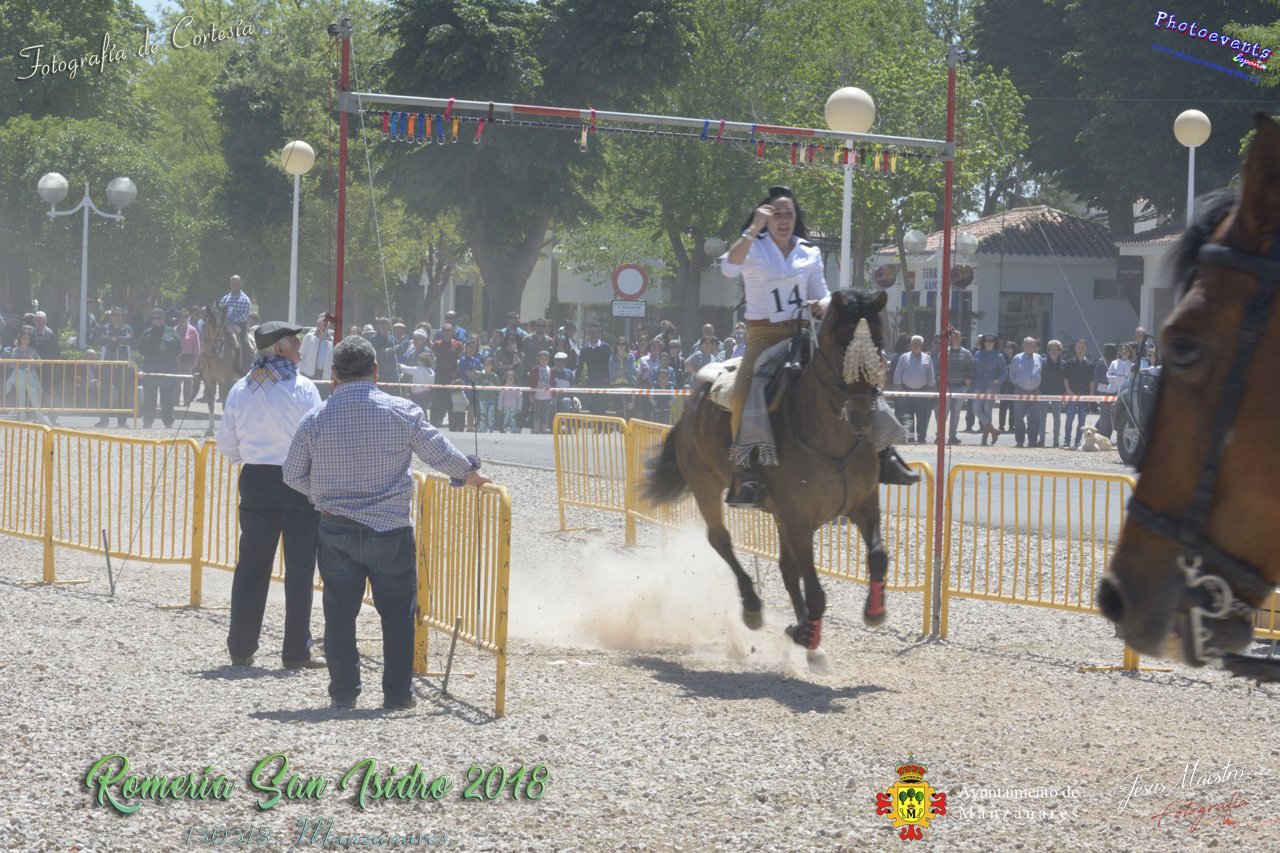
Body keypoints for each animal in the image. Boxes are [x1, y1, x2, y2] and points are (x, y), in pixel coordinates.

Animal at [195, 304, 247, 436]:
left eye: (222, 324)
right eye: (210, 323)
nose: (216, 346)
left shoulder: (225, 380)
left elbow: (224, 403)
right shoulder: (209, 380)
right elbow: (211, 403)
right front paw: (210, 430)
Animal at [645, 288, 892, 668]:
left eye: (878, 343)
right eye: (840, 345)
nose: (862, 413)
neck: (829, 438)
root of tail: (692, 403)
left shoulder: (863, 505)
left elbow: (878, 557)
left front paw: (873, 612)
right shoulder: (799, 521)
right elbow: (815, 590)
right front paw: (808, 633)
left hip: (777, 513)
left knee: (787, 568)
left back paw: (803, 634)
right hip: (706, 486)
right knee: (721, 540)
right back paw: (754, 609)